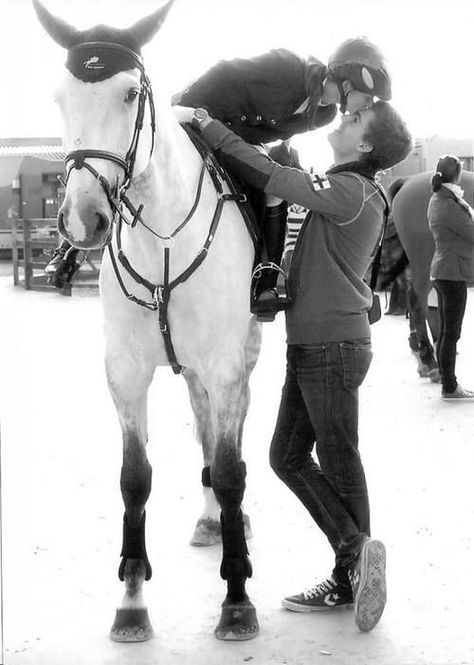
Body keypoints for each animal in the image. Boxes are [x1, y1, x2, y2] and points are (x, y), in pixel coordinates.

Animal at [33, 0, 262, 644]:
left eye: (131, 93)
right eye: (59, 96)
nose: (82, 218)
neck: (162, 239)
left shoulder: (225, 363)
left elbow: (231, 471)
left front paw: (237, 599)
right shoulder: (126, 371)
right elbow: (135, 477)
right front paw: (132, 601)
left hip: (241, 354)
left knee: (230, 430)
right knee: (203, 423)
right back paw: (210, 520)